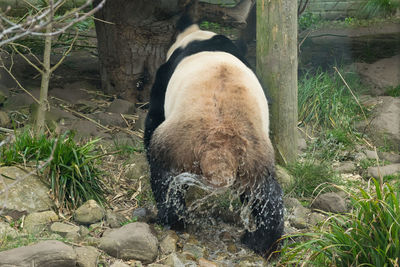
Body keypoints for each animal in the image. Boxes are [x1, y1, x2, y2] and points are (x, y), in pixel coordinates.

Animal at [145, 15, 284, 258]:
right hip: (255, 155)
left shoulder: (165, 74)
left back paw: (171, 219)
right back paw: (261, 242)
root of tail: (220, 150)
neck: (199, 37)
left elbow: (153, 115)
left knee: (165, 180)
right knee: (266, 196)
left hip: (179, 142)